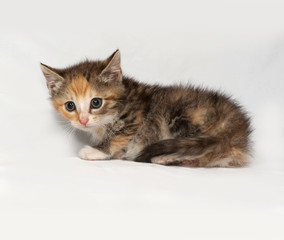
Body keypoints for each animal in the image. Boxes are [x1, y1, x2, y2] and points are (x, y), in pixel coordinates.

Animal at [40, 50, 251, 167]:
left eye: (96, 103)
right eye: (70, 106)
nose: (83, 120)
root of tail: (237, 128)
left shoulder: (135, 118)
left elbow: (118, 136)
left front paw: (96, 151)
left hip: (181, 114)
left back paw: (165, 158)